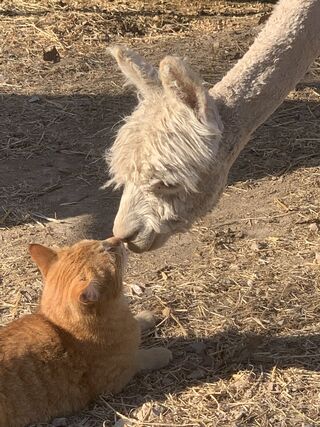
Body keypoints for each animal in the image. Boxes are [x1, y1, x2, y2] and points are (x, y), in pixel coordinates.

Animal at [0, 237, 172, 427]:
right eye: (110, 251)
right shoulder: (119, 374)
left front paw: (145, 317)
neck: (61, 328)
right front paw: (161, 353)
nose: (117, 239)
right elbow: (142, 359)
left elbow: (138, 324)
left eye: (99, 241)